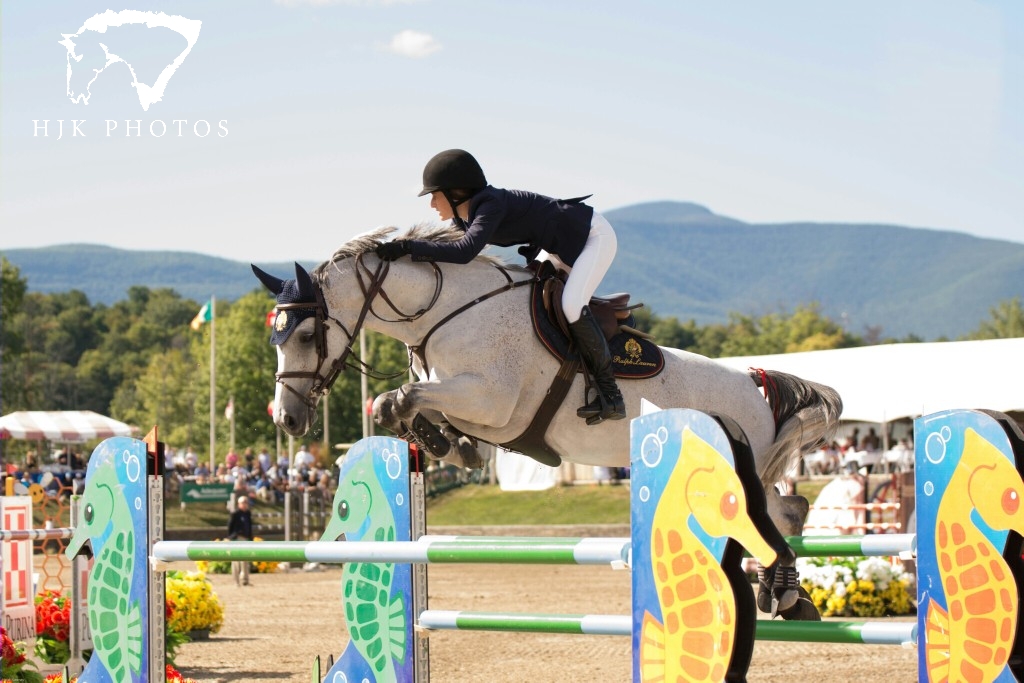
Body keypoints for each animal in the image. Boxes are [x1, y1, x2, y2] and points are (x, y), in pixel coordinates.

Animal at [252, 224, 843, 620]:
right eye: (274, 337)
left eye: (306, 335)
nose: (288, 418)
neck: (443, 313)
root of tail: (758, 385)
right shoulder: (476, 404)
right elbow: (410, 406)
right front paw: (447, 445)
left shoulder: (491, 399)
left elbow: (393, 399)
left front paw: (440, 440)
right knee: (788, 509)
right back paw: (785, 595)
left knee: (778, 515)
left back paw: (785, 592)